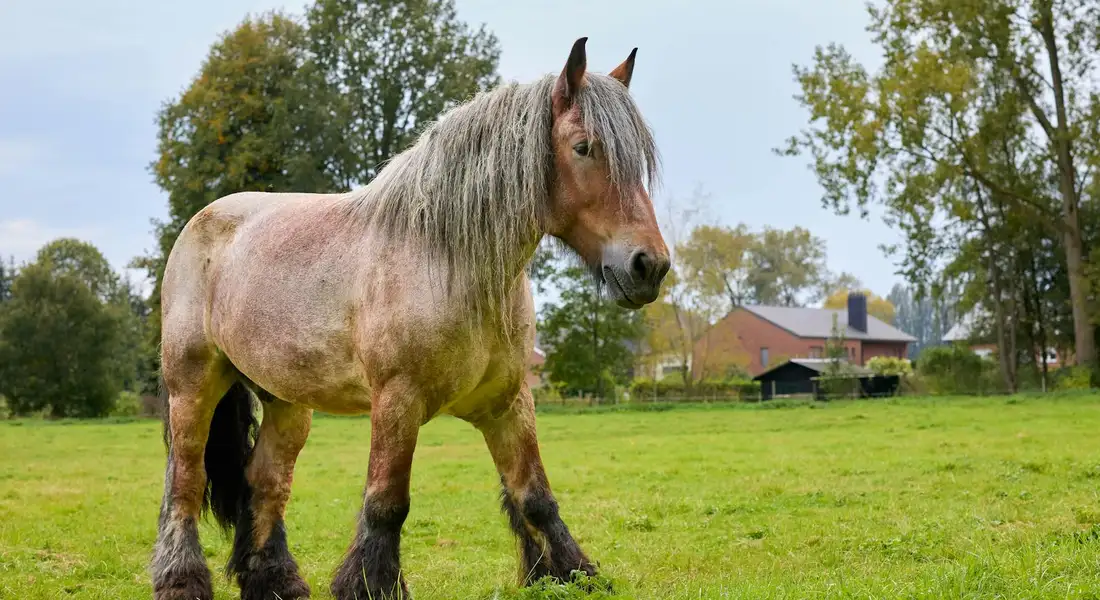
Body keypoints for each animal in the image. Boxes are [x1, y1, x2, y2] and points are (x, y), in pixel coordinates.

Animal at [151, 37, 670, 600]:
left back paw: (276, 582)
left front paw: (571, 572)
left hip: (287, 402)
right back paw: (180, 580)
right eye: (583, 147)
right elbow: (386, 503)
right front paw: (368, 584)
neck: (446, 260)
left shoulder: (509, 403)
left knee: (265, 482)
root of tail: (202, 221)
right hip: (193, 386)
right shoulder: (397, 402)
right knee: (185, 482)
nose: (649, 266)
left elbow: (534, 495)